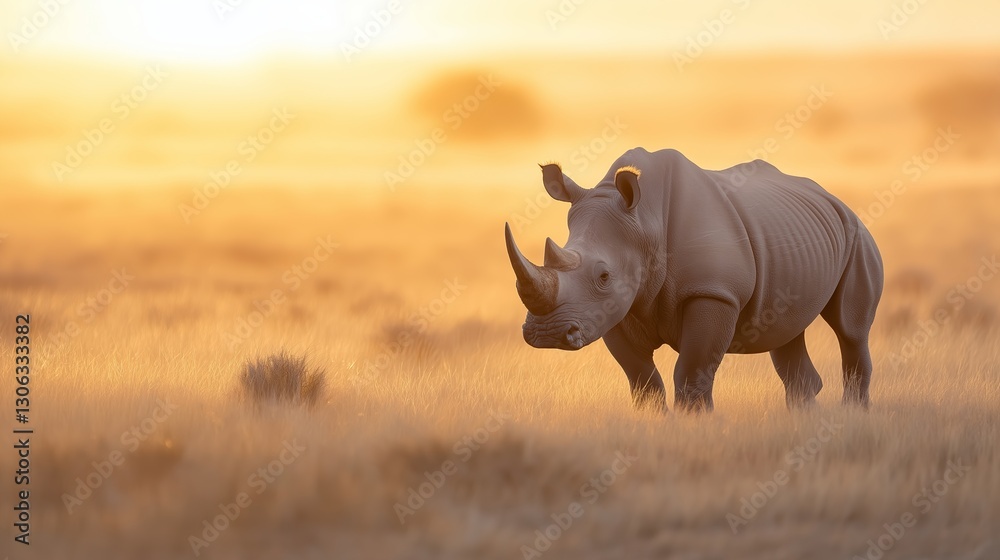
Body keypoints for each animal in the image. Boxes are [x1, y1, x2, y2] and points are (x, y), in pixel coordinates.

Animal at [505, 148, 883, 412]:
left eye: (603, 275)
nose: (546, 334)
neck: (645, 223)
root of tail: (834, 199)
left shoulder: (714, 292)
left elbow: (692, 370)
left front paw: (695, 424)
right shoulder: (610, 310)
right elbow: (641, 378)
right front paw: (653, 422)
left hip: (857, 235)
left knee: (850, 329)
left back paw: (851, 415)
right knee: (787, 333)